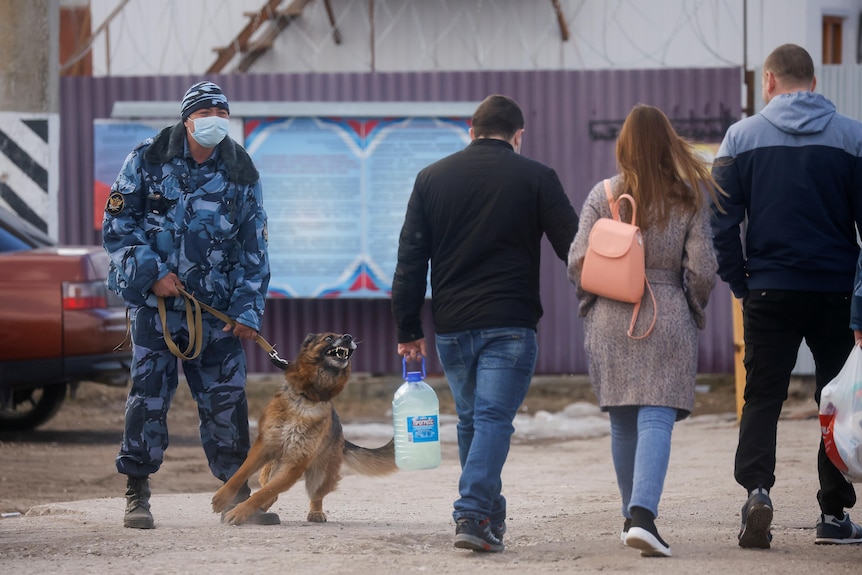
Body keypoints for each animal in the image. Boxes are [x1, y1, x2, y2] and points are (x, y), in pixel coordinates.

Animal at [213, 332, 398, 528]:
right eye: (329, 337)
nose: (348, 336)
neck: (307, 398)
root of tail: (341, 434)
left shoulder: (295, 465)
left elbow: (263, 493)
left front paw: (239, 512)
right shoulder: (262, 448)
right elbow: (240, 474)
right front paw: (222, 498)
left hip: (320, 476)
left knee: (312, 494)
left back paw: (315, 512)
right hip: (271, 468)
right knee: (271, 491)